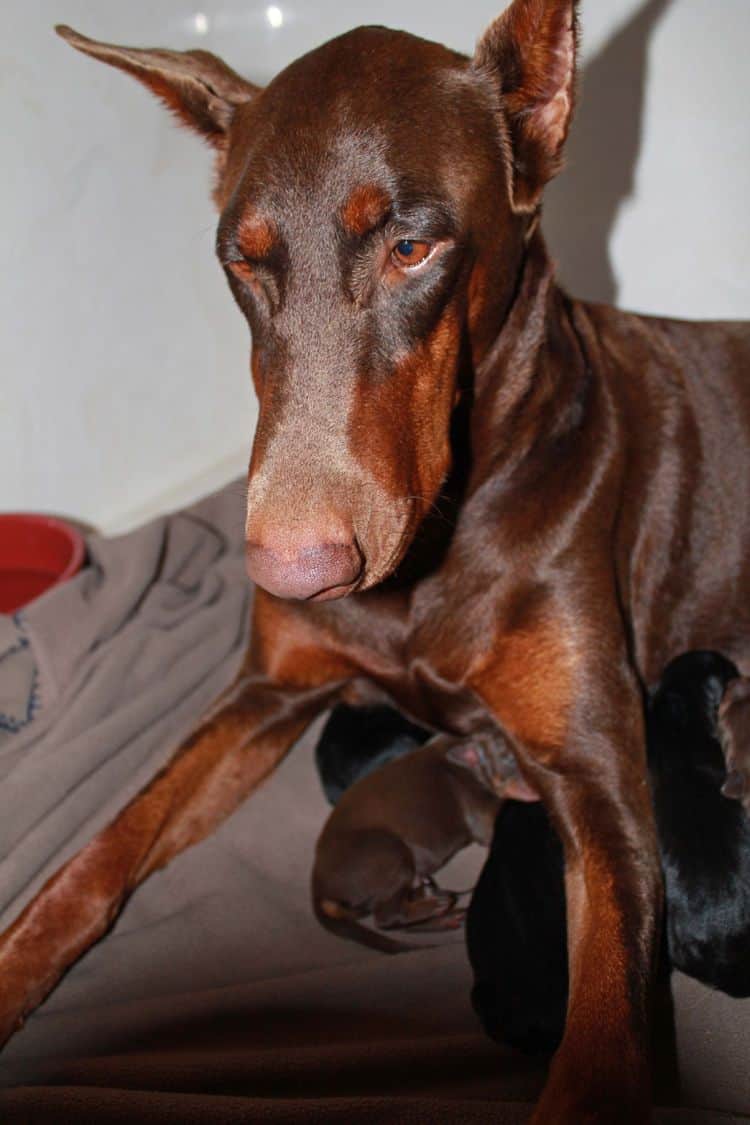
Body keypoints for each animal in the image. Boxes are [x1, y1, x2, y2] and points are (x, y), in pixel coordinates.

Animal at [312, 724, 539, 954]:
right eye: (508, 760)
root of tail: (318, 886)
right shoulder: (483, 820)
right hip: (389, 850)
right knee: (387, 917)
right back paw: (435, 906)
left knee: (400, 920)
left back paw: (441, 911)